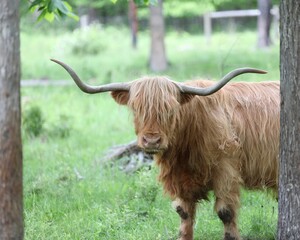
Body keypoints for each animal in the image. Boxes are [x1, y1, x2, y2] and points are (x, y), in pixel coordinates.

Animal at [52, 58, 282, 240]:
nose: (152, 140)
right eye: (136, 108)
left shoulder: (226, 170)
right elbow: (184, 214)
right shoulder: (181, 179)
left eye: (169, 109)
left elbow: (226, 212)